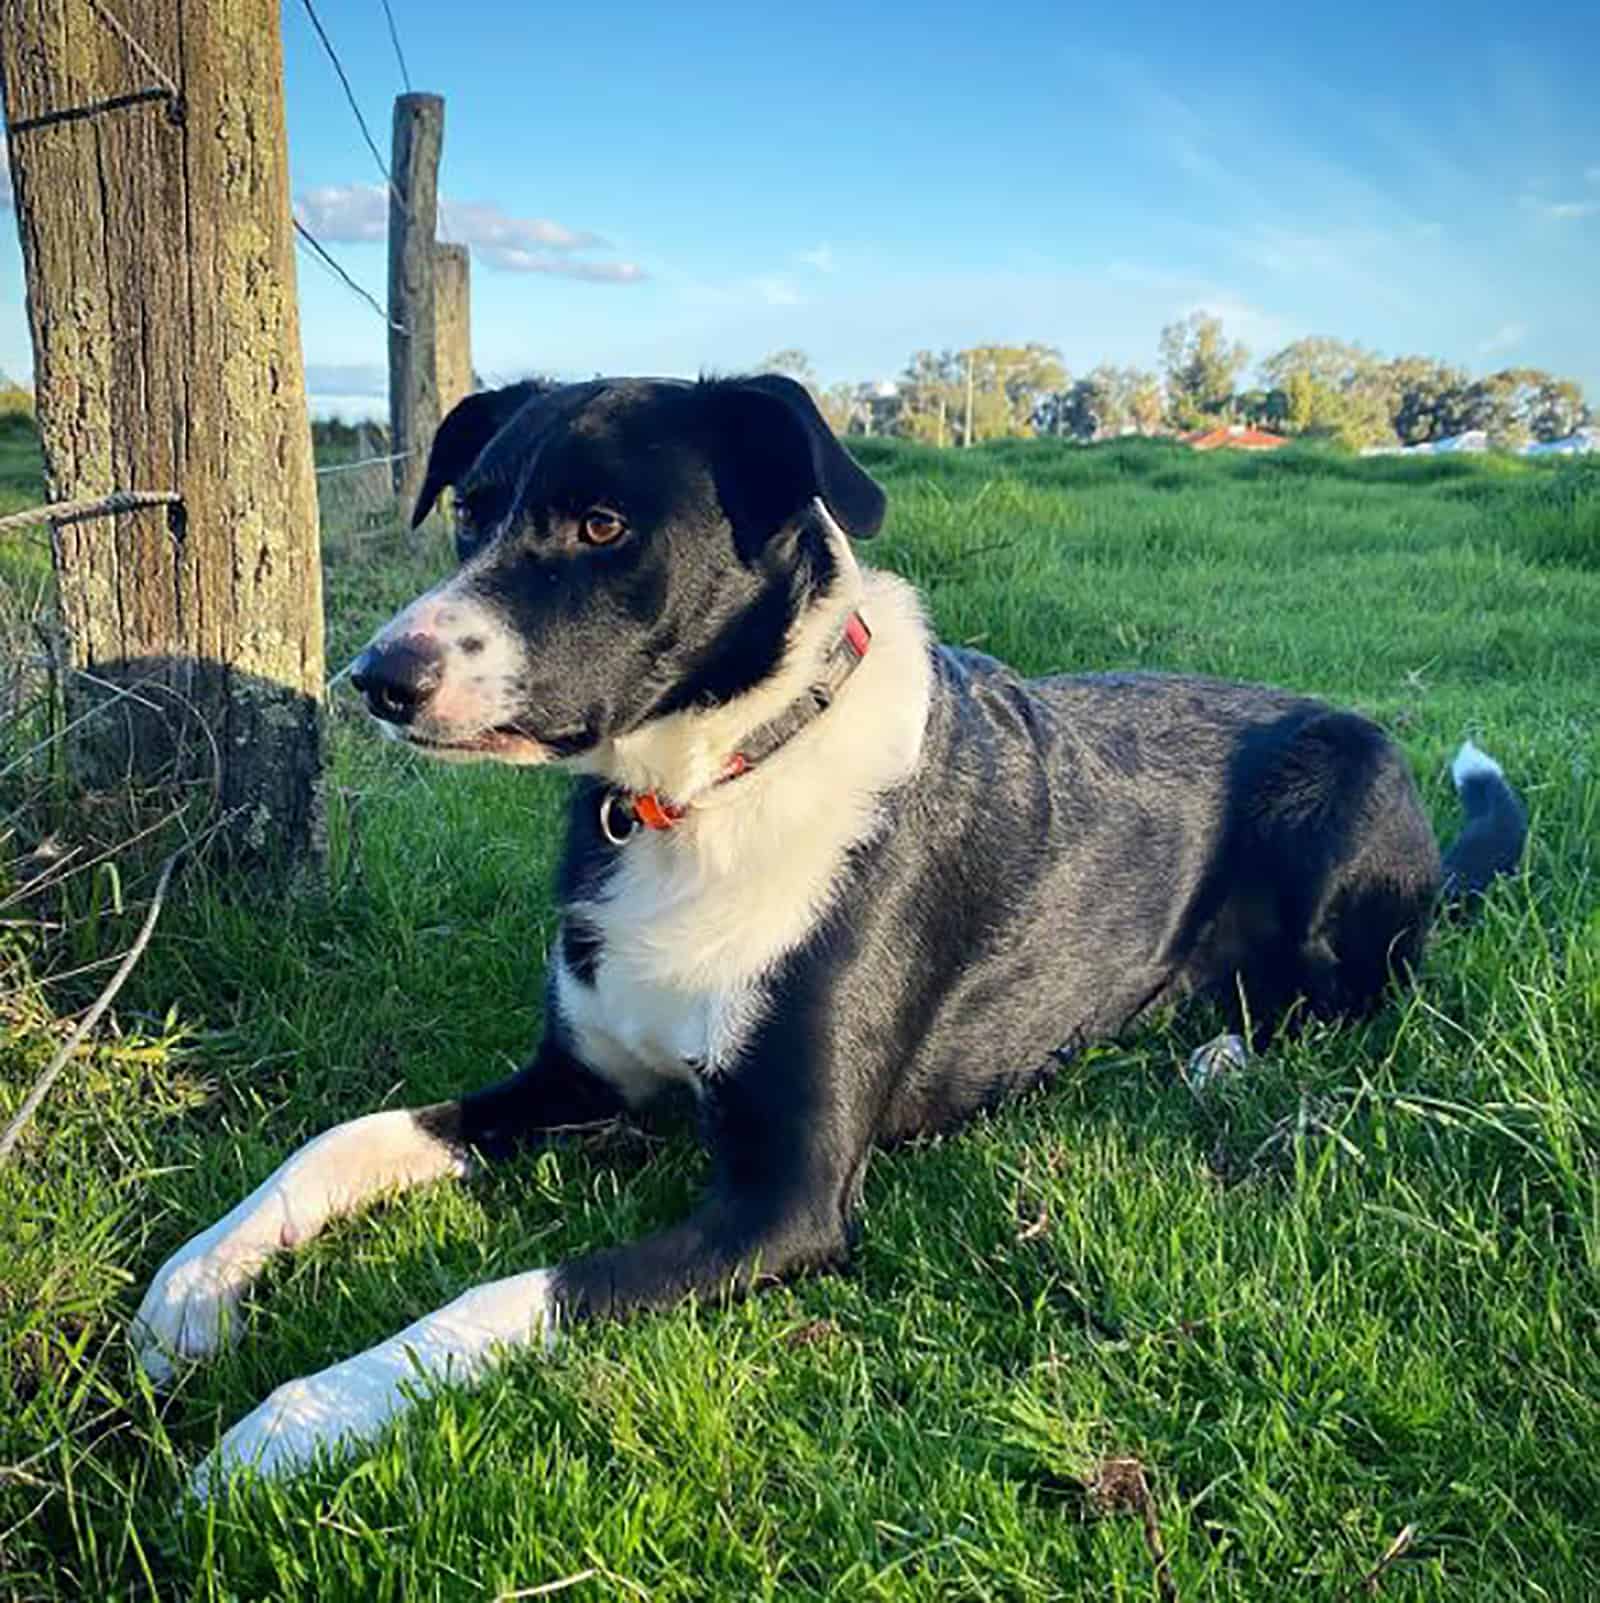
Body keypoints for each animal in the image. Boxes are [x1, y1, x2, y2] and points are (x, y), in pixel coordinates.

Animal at [134, 371, 1526, 1487]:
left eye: (602, 525)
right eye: (470, 509)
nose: (378, 676)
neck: (708, 785)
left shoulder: (785, 1200)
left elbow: (507, 1292)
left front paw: (295, 1418)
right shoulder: (577, 1085)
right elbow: (343, 1137)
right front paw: (192, 1289)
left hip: (1344, 786)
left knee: (1360, 993)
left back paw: (1226, 1050)